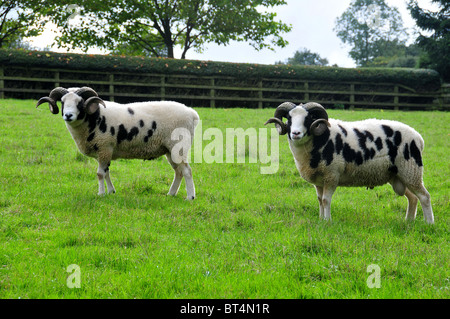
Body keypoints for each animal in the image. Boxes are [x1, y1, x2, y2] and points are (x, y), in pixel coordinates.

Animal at [37, 86, 200, 199]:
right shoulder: (105, 151)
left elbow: (100, 174)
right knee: (178, 171)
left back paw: (190, 197)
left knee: (187, 170)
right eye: (63, 102)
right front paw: (111, 191)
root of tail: (192, 114)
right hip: (169, 150)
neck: (94, 117)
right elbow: (106, 172)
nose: (68, 115)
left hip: (179, 147)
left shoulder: (104, 147)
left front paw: (101, 194)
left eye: (80, 102)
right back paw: (171, 194)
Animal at [266, 102, 434, 225]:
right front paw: (321, 219)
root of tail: (419, 138)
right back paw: (409, 221)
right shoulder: (319, 180)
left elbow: (326, 200)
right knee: (413, 198)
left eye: (308, 119)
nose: (295, 133)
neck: (319, 140)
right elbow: (320, 200)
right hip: (399, 176)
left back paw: (429, 223)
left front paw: (327, 221)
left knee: (424, 196)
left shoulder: (332, 175)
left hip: (411, 170)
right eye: (289, 119)